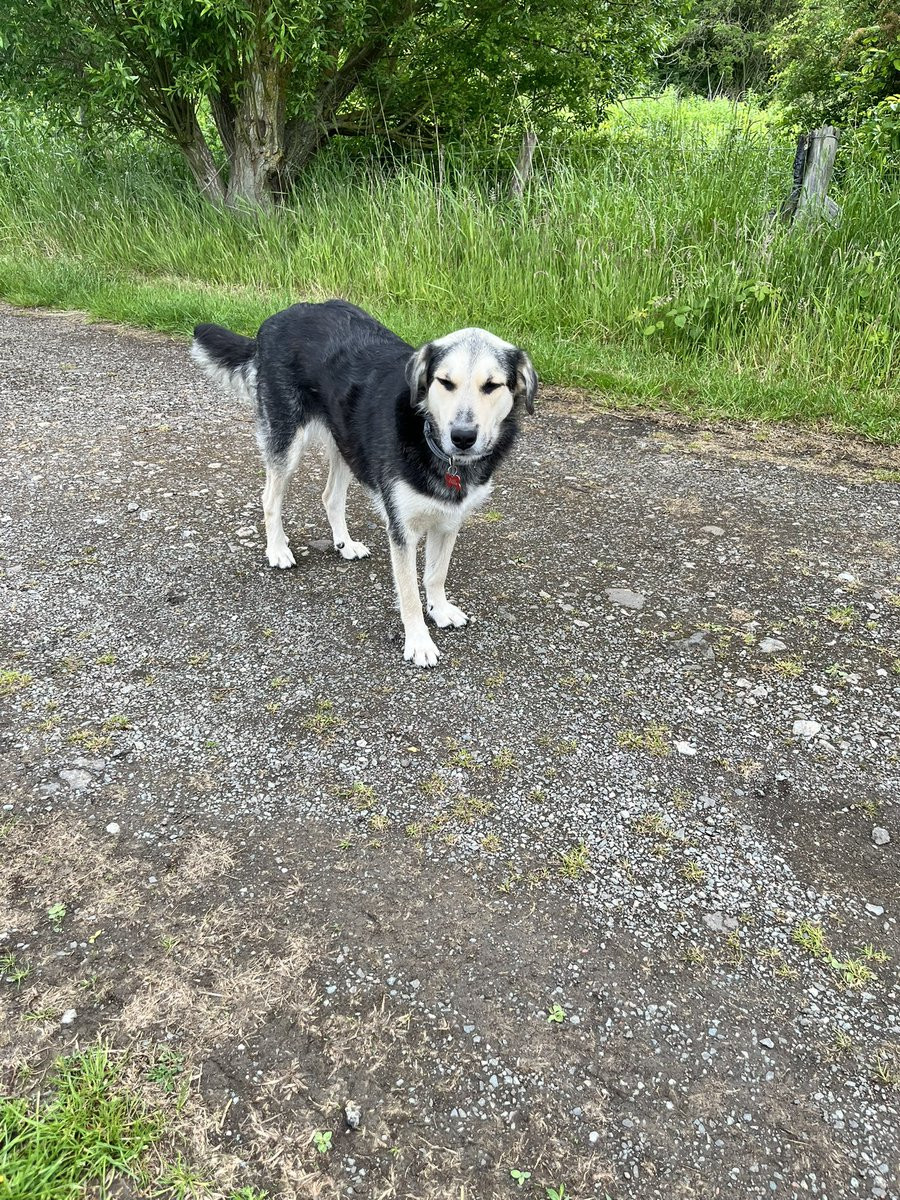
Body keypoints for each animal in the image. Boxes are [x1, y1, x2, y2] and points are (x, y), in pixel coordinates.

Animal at [191, 300, 536, 666]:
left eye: (492, 386)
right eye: (445, 382)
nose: (463, 437)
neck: (431, 440)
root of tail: (279, 317)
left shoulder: (448, 522)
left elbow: (436, 574)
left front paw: (440, 609)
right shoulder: (401, 531)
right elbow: (409, 594)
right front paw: (419, 641)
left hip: (346, 442)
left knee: (330, 496)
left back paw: (345, 544)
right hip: (287, 440)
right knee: (270, 497)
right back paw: (278, 549)